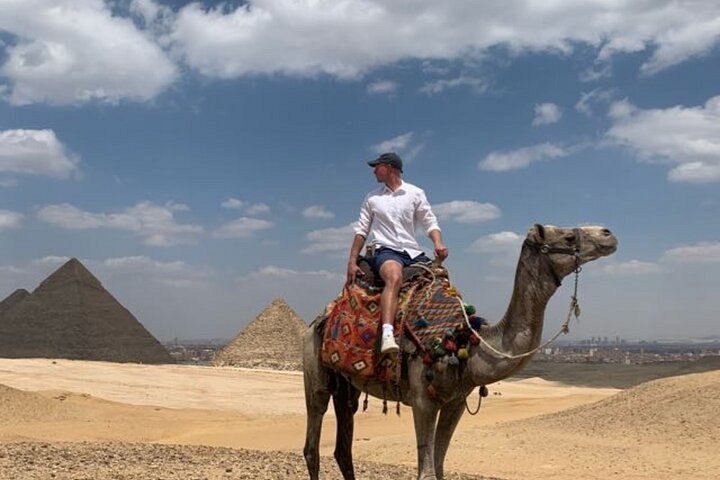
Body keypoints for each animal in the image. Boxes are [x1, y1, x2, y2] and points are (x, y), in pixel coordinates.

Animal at [303, 224, 617, 480]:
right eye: (568, 236)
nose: (608, 234)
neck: (464, 342)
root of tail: (320, 318)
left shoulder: (455, 401)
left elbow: (440, 466)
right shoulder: (422, 400)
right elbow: (427, 472)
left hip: (347, 387)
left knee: (343, 446)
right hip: (315, 370)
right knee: (312, 444)